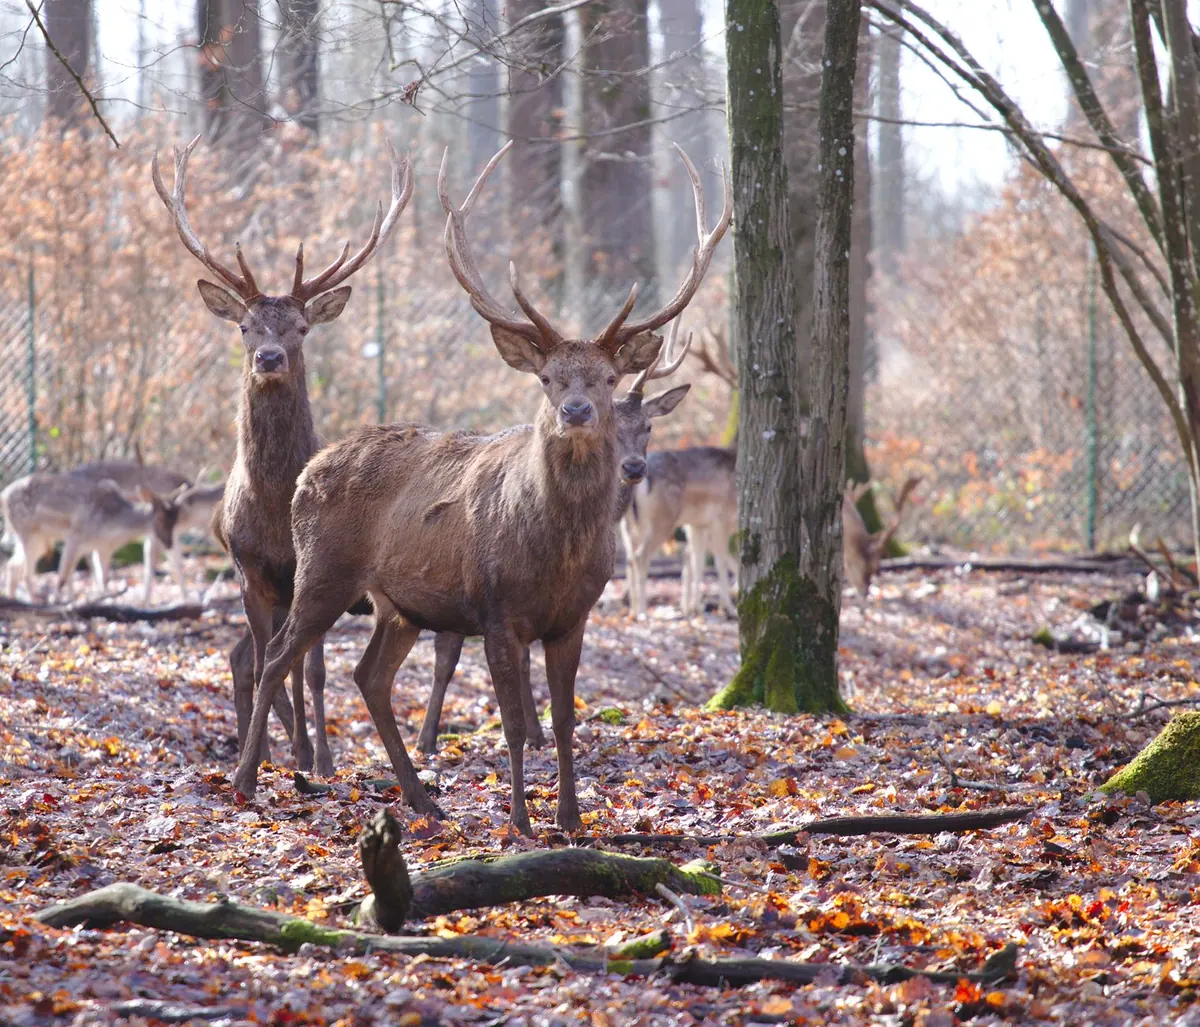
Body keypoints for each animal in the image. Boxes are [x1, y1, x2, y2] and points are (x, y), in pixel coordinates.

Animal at [152, 135, 412, 775]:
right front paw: (268, 751)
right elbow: (271, 656)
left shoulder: (308, 571)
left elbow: (309, 669)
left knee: (278, 658)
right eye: (245, 326)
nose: (268, 357)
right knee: (244, 653)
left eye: (300, 327)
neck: (272, 509)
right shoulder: (249, 570)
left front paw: (317, 757)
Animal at [414, 321, 693, 754]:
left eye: (648, 427)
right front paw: (533, 733)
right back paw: (426, 738)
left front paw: (536, 732)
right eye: (616, 428)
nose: (633, 467)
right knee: (444, 651)